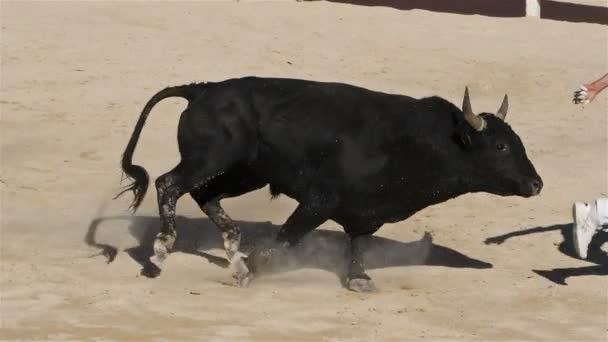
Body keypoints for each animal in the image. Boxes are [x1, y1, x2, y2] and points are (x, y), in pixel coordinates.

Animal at [115, 77, 540, 292]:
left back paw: (233, 249)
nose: (537, 184)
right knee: (170, 184)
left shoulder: (367, 211)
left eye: (516, 141)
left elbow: (359, 243)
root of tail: (203, 89)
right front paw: (255, 267)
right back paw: (160, 254)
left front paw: (359, 278)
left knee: (206, 196)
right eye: (500, 146)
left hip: (244, 173)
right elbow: (288, 237)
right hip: (210, 160)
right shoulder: (319, 201)